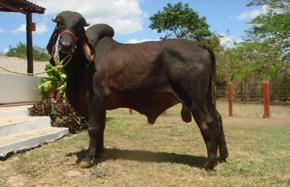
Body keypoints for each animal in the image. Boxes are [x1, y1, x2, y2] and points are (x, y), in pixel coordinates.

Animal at [47, 10, 229, 170]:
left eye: (79, 26)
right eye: (59, 23)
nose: (66, 45)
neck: (81, 65)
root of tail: (201, 46)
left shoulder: (96, 97)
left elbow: (93, 127)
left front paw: (88, 159)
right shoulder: (102, 104)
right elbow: (101, 127)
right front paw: (98, 153)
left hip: (195, 99)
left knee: (207, 122)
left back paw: (210, 162)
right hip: (207, 98)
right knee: (218, 119)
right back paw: (222, 156)